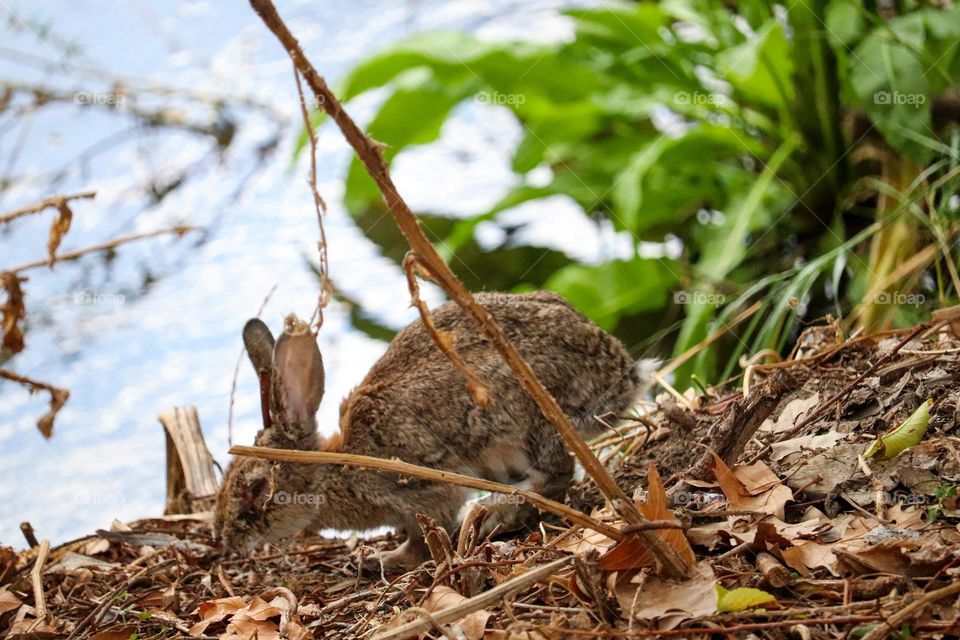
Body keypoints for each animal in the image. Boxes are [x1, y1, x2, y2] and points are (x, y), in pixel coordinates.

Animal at [215, 292, 656, 568]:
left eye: (256, 489)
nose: (224, 539)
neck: (334, 470)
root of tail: (623, 373)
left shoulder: (424, 493)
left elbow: (424, 535)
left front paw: (385, 559)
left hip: (523, 425)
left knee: (556, 477)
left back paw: (496, 515)